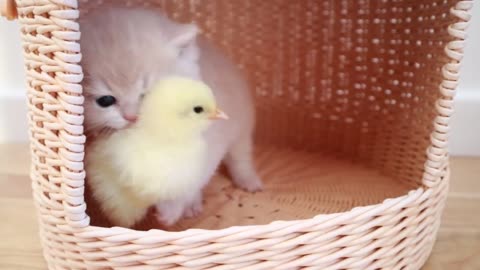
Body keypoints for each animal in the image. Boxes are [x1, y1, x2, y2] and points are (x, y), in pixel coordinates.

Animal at [80, 6, 264, 226]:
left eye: (148, 93)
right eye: (105, 101)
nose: (131, 117)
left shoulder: (209, 142)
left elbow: (189, 179)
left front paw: (170, 209)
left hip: (241, 125)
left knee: (240, 155)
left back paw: (247, 181)